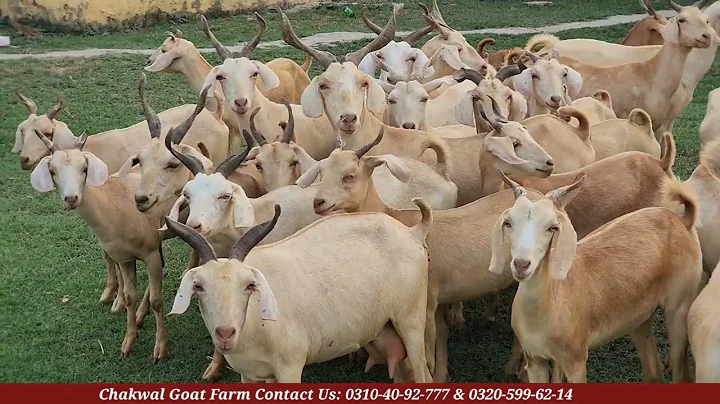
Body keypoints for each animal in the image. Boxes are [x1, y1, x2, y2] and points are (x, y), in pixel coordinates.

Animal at [166, 201, 434, 383]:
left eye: (249, 284)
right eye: (199, 285)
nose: (225, 333)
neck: (254, 321)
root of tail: (413, 231)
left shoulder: (290, 367)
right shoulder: (249, 374)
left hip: (410, 319)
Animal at [491, 172, 701, 383]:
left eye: (552, 227)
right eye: (508, 222)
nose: (521, 264)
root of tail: (682, 221)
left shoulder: (575, 361)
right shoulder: (535, 360)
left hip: (679, 309)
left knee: (682, 372)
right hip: (641, 317)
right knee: (653, 370)